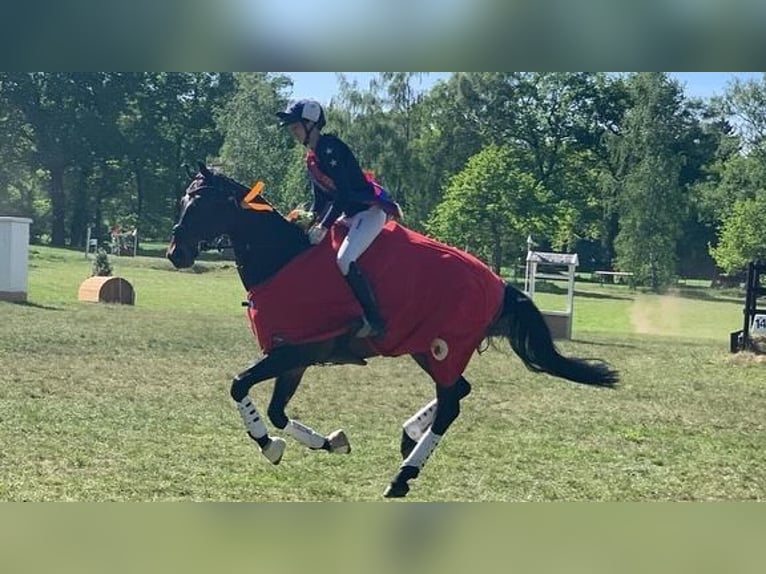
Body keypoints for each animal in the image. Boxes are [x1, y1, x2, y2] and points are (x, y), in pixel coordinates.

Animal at [166, 165, 616, 500]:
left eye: (201, 204)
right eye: (183, 201)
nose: (176, 254)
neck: (282, 259)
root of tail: (498, 283)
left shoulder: (293, 353)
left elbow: (239, 385)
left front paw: (269, 447)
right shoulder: (294, 357)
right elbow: (277, 411)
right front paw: (329, 441)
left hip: (441, 348)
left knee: (451, 402)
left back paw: (403, 475)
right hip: (427, 348)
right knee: (459, 391)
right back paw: (409, 435)